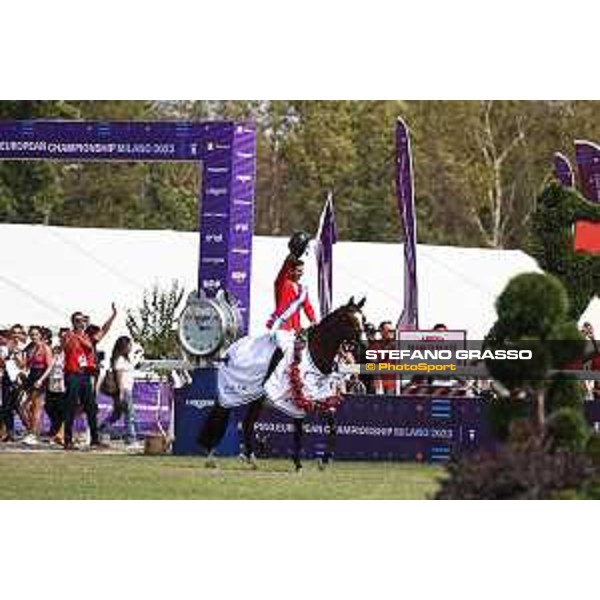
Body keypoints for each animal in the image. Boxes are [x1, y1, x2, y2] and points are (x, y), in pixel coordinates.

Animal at [197, 298, 366, 472]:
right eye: (350, 320)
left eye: (363, 319)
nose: (362, 345)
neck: (316, 354)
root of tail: (228, 353)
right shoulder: (298, 399)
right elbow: (298, 430)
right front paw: (298, 463)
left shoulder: (322, 398)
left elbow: (332, 428)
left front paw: (324, 461)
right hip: (236, 395)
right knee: (224, 418)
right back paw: (215, 457)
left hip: (256, 399)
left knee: (246, 423)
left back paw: (250, 459)